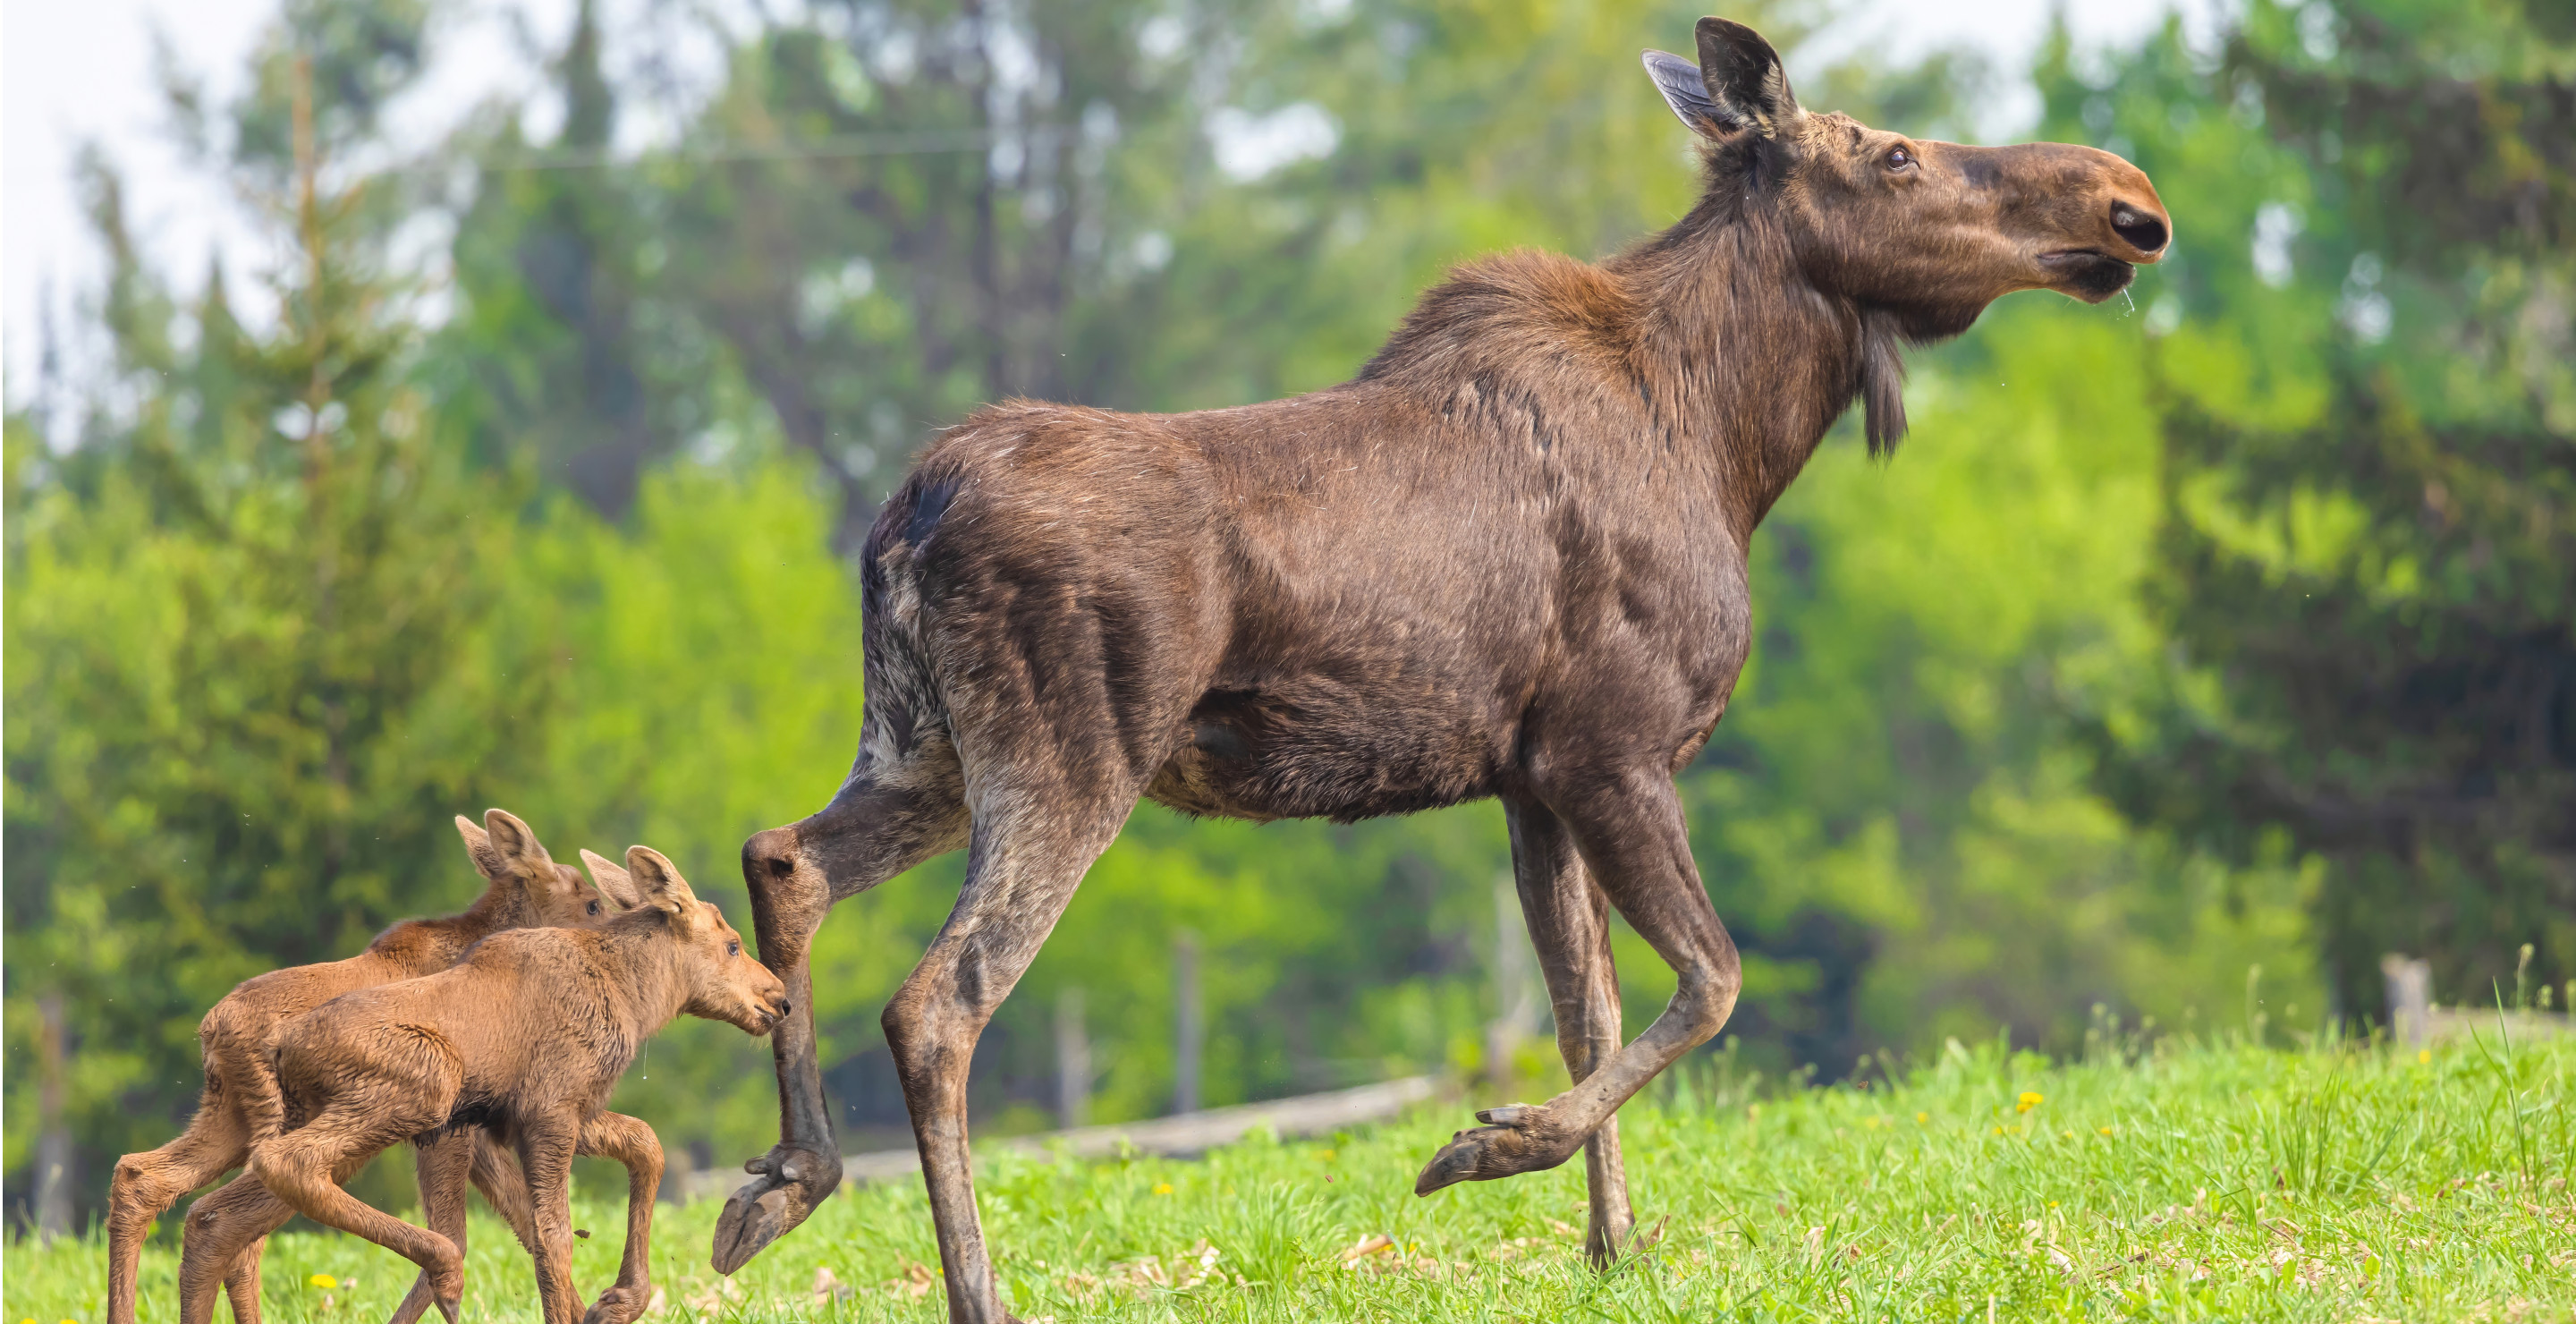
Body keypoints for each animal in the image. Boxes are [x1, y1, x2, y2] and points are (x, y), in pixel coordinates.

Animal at [105, 809, 633, 1324]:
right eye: (592, 904)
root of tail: (214, 1028)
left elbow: (524, 1220)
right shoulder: (461, 1121)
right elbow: (489, 1229)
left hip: (229, 1114)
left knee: (147, 1180)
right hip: (305, 1121)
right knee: (239, 1230)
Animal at [220, 847, 787, 1324]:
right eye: (732, 945)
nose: (779, 998)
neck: (636, 998)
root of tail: (285, 1049)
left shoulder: (549, 1113)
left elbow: (646, 1146)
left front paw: (620, 1299)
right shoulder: (548, 1110)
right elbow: (554, 1235)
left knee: (218, 1215)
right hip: (427, 1082)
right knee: (287, 1166)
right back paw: (447, 1272)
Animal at [707, 18, 2172, 1322]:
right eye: (1898, 156)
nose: (2132, 204)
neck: (1733, 440)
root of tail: (908, 512)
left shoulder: (1530, 778)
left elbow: (1589, 1010)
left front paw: (1613, 1247)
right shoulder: (1614, 748)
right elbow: (1711, 980)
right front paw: (1488, 1146)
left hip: (926, 747)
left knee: (785, 857)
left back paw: (779, 1182)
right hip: (1071, 757)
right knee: (936, 1001)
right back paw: (971, 1286)